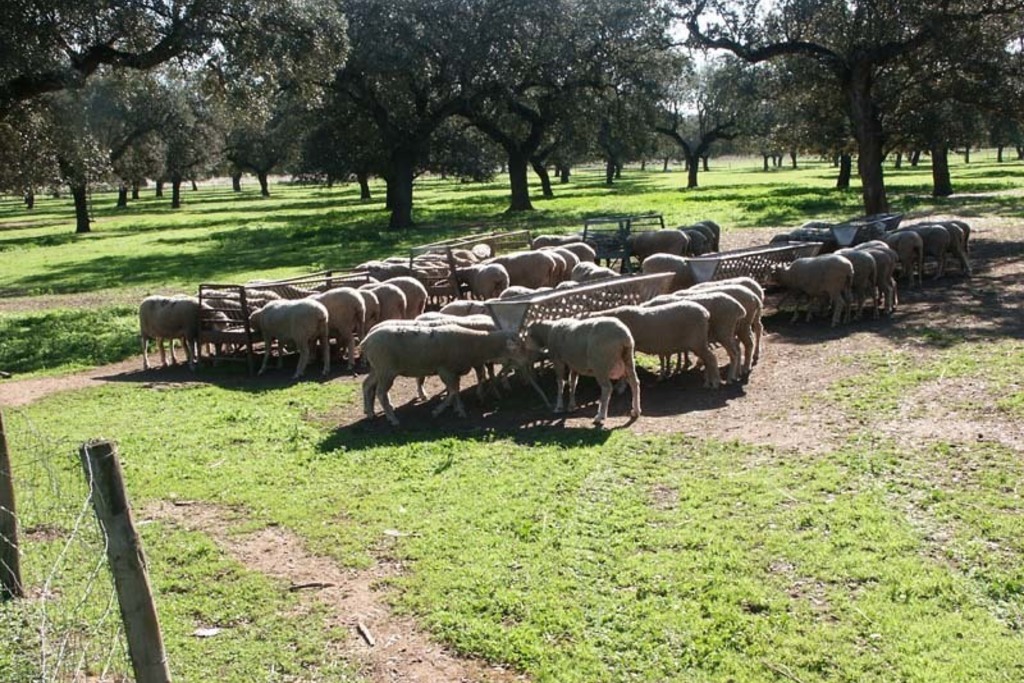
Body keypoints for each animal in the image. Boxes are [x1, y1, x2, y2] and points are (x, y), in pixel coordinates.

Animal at [360, 323, 524, 423]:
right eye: (517, 348)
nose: (524, 363)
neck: (473, 344)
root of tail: (366, 340)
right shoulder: (445, 370)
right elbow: (453, 391)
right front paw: (438, 411)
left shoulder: (455, 371)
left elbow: (455, 391)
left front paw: (459, 409)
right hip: (386, 370)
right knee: (380, 392)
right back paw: (392, 418)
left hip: (377, 369)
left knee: (366, 385)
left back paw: (370, 412)